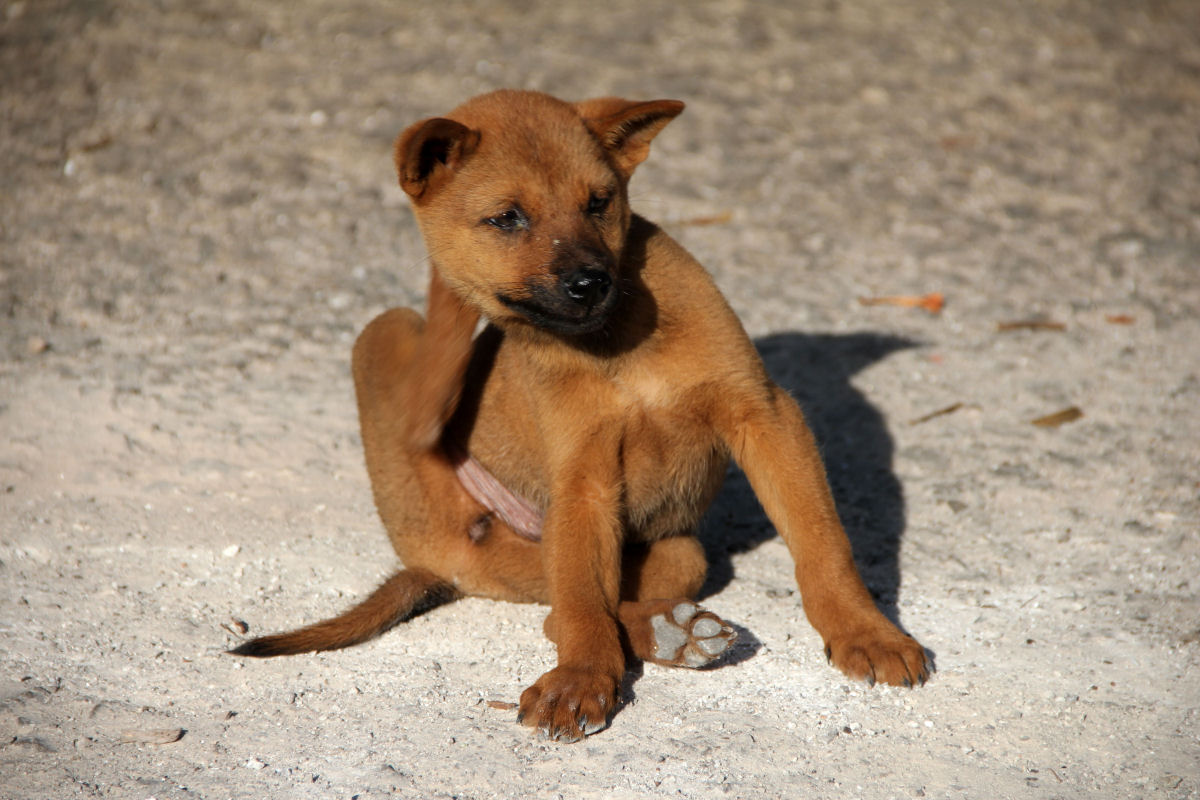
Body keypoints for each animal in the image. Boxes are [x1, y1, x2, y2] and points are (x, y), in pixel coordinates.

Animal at [234, 90, 926, 743]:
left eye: (599, 203)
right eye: (507, 218)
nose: (590, 283)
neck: (616, 345)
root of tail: (430, 563)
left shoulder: (767, 416)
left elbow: (822, 544)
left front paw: (866, 631)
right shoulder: (583, 480)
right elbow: (584, 609)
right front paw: (580, 681)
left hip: (676, 552)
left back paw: (676, 630)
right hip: (391, 338)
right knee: (560, 608)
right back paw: (673, 634)